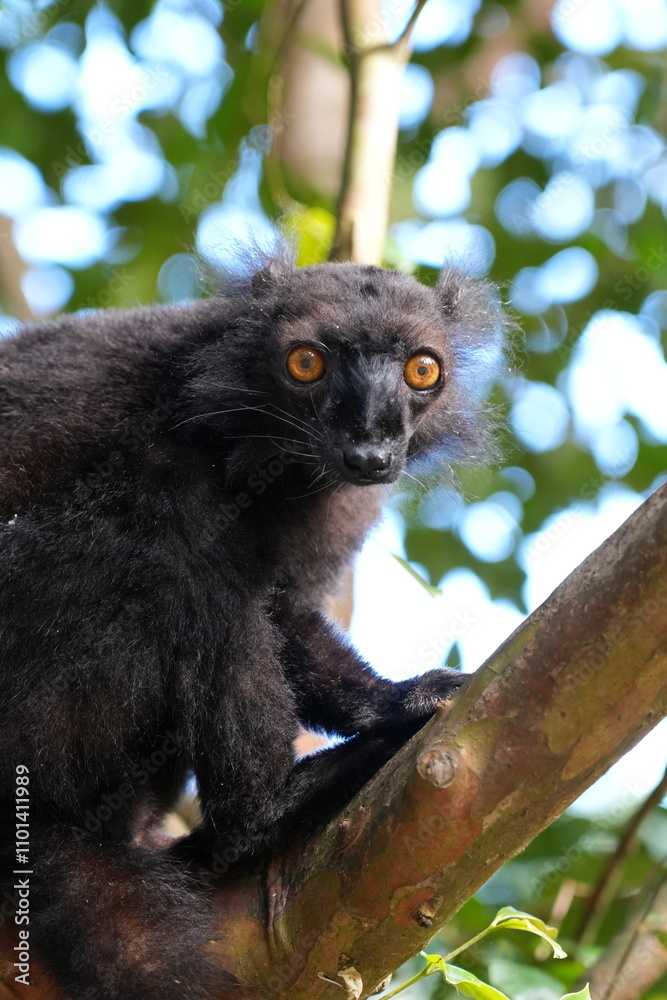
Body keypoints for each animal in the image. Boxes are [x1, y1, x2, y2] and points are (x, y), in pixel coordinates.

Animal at [0, 256, 503, 999]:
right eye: (306, 363)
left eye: (421, 371)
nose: (369, 452)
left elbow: (284, 608)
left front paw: (397, 700)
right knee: (179, 517)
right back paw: (265, 812)